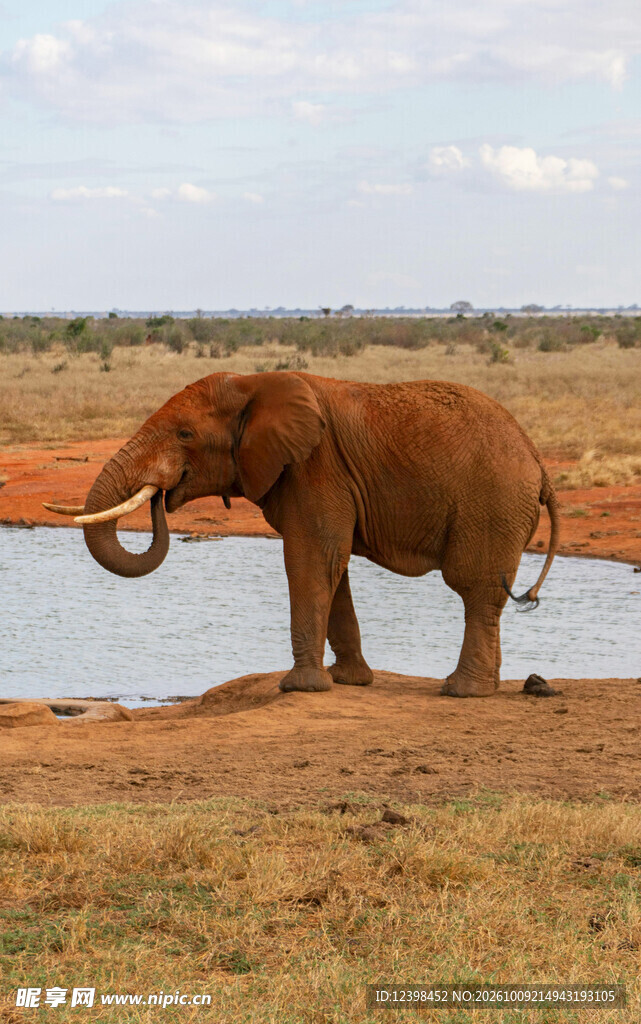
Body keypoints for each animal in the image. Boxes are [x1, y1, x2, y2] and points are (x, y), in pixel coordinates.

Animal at [45, 371, 560, 697]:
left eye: (185, 434)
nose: (161, 497)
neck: (254, 381)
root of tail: (538, 462)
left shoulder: (316, 468)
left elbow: (310, 559)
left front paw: (300, 687)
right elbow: (335, 566)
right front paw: (347, 680)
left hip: (492, 504)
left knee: (474, 588)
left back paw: (462, 692)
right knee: (487, 596)